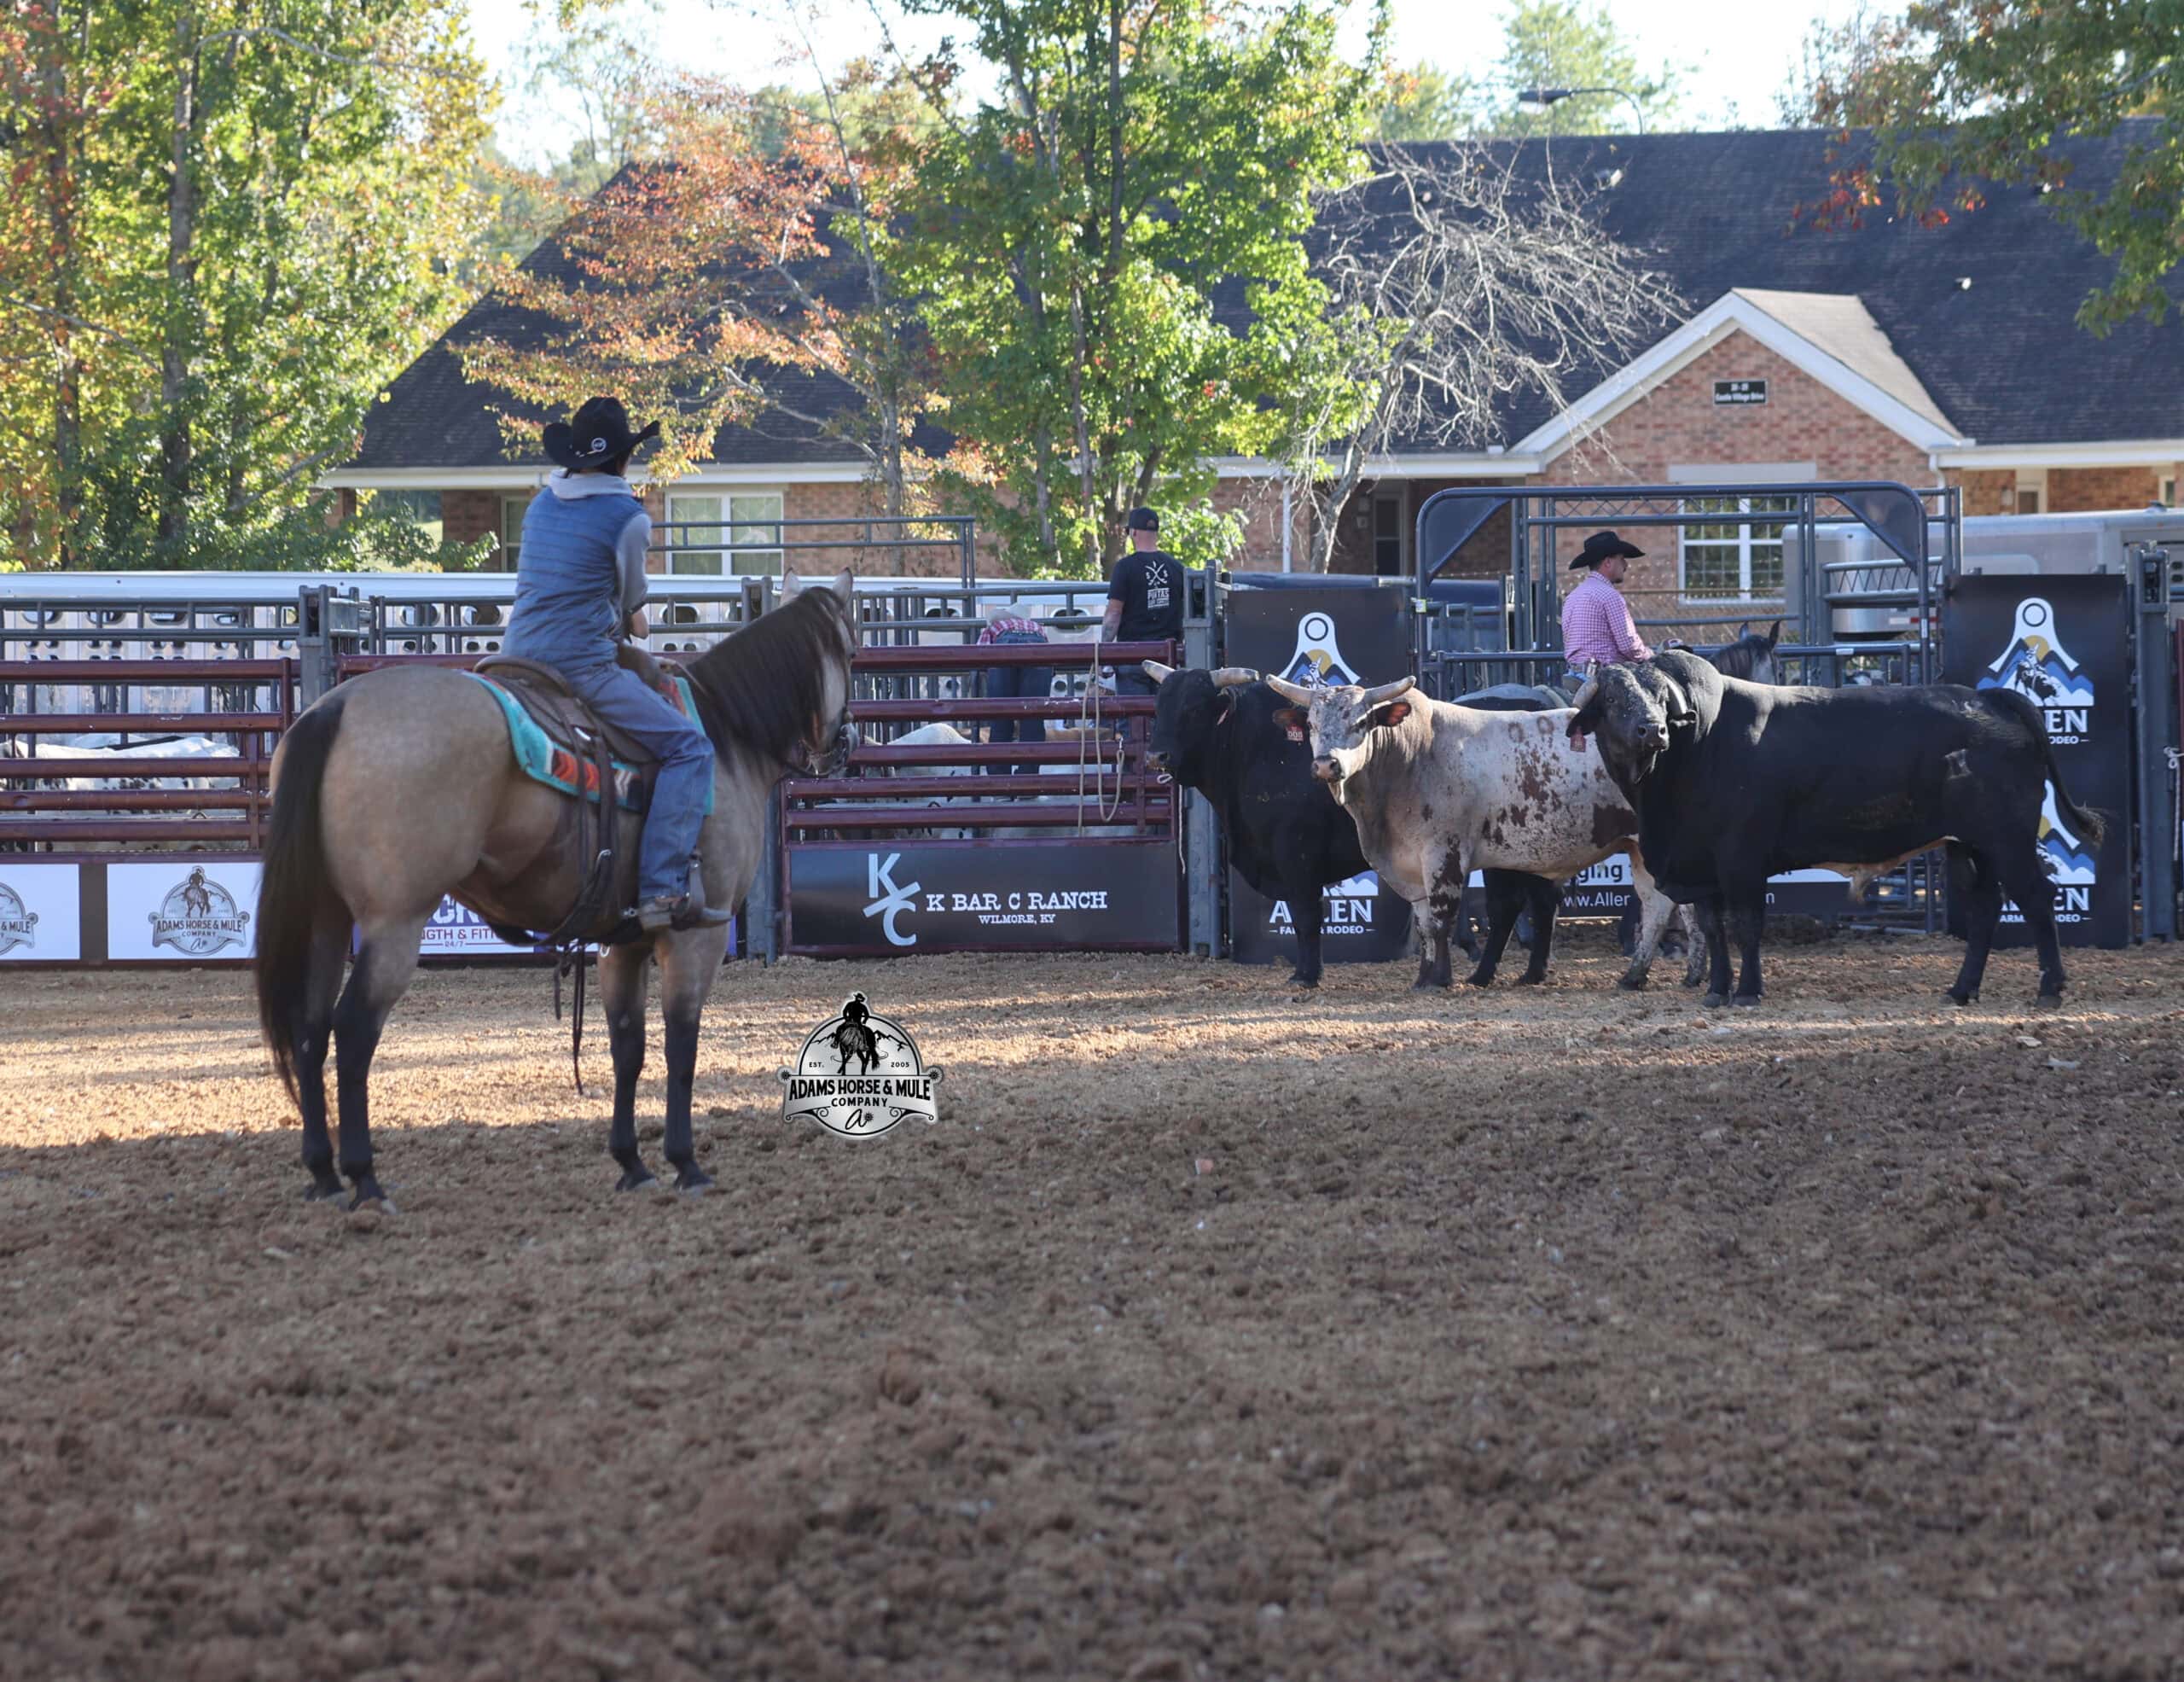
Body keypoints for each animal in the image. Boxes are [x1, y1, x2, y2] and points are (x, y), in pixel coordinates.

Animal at [253, 570, 861, 1208]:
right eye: (851, 652)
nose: (845, 740)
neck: (725, 738)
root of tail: (337, 708)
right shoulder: (698, 936)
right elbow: (681, 1046)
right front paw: (685, 1162)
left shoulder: (624, 941)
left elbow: (627, 1048)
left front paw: (632, 1163)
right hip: (394, 923)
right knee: (352, 1029)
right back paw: (365, 1177)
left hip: (324, 917)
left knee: (310, 1026)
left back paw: (322, 1174)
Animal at [1263, 673, 1686, 992]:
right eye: (1312, 725)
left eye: (1361, 723)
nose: (1326, 765)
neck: (1411, 758)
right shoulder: (1410, 864)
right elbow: (1423, 922)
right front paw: (1422, 978)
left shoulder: (1443, 854)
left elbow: (1441, 918)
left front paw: (1440, 980)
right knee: (1657, 904)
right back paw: (1638, 975)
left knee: (1660, 903)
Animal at [1566, 649, 2106, 1007]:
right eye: (1614, 699)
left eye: (1661, 698)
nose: (1653, 730)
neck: (1696, 748)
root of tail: (1990, 698)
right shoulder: (1702, 868)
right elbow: (1715, 930)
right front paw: (1717, 992)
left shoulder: (1742, 859)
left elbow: (1746, 926)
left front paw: (1748, 992)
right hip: (1968, 846)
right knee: (1985, 908)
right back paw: (1961, 989)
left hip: (2007, 839)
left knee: (2036, 898)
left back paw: (2050, 988)